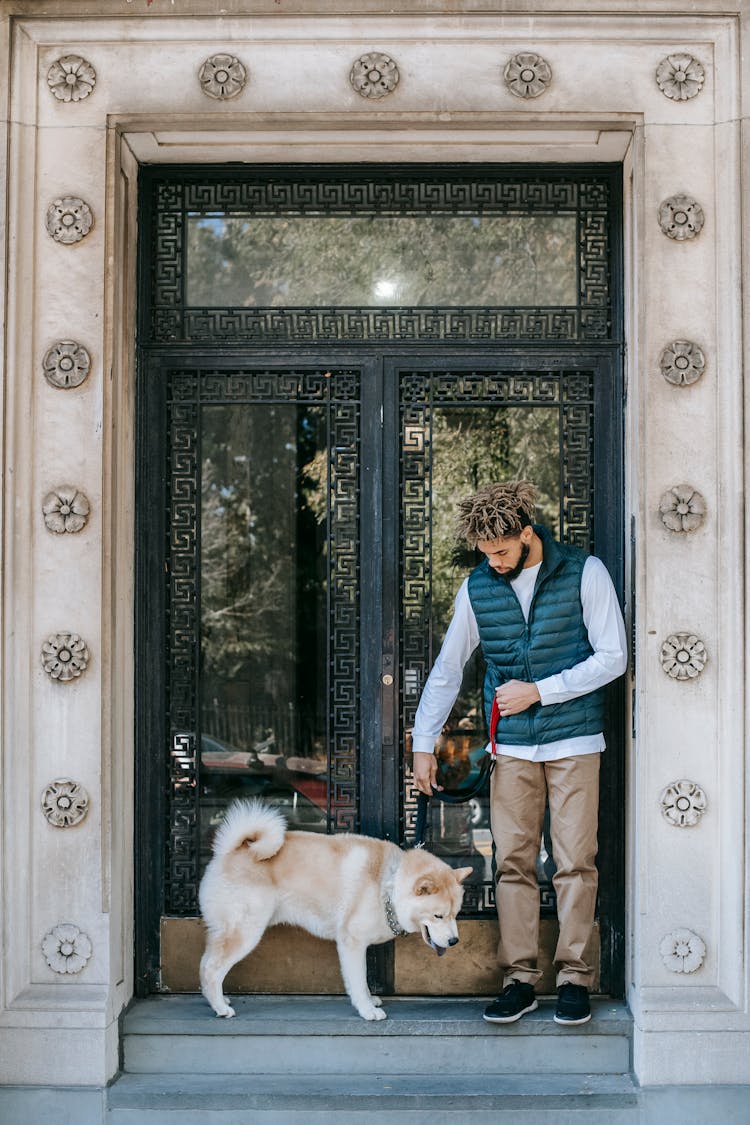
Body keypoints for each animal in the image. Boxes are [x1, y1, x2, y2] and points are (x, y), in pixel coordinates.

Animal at [199, 801, 470, 1021]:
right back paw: (221, 1008)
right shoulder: (352, 942)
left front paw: (369, 1002)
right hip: (245, 932)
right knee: (211, 969)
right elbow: (359, 981)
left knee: (204, 965)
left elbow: (359, 983)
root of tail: (230, 851)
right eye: (438, 915)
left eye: (455, 914)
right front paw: (367, 1011)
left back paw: (217, 1000)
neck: (388, 884)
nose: (454, 941)